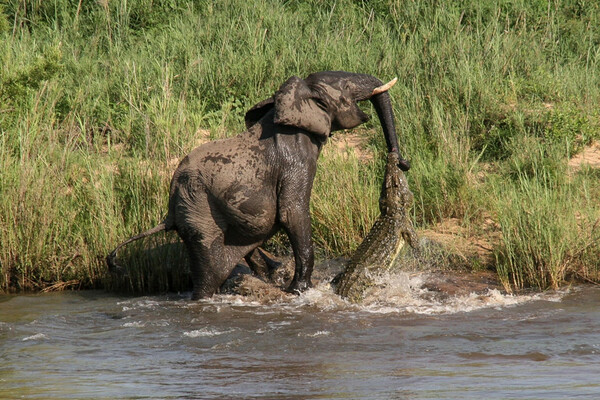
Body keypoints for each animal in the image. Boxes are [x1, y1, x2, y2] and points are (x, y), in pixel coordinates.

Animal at [106, 70, 408, 298]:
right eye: (346, 86)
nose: (401, 162)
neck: (295, 100)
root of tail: (169, 212)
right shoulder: (295, 159)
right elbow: (292, 212)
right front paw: (300, 291)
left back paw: (273, 274)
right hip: (199, 213)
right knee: (209, 273)